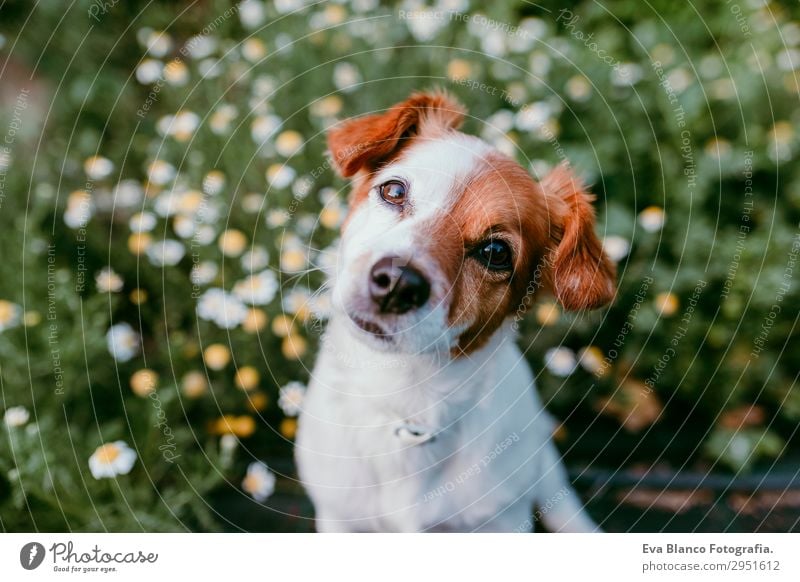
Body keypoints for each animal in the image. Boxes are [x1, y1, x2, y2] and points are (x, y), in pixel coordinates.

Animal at [296, 91, 616, 532]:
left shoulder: (505, 519)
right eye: (393, 191)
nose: (397, 282)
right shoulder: (339, 517)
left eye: (496, 252)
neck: (408, 399)